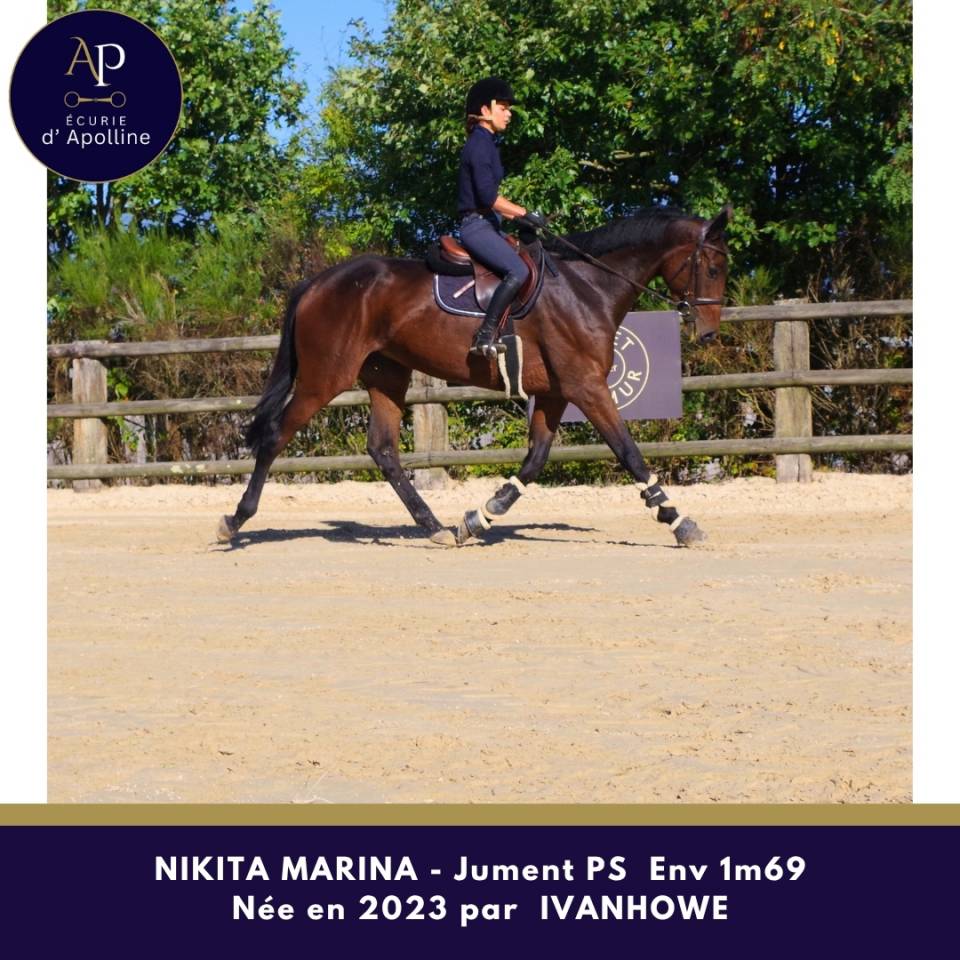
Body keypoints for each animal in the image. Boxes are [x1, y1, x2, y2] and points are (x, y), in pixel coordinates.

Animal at [216, 205, 732, 548]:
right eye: (711, 266)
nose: (707, 332)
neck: (587, 288)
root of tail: (318, 282)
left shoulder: (555, 393)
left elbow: (534, 461)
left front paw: (479, 518)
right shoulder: (586, 387)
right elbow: (629, 453)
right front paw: (681, 522)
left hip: (387, 375)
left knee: (383, 450)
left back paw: (435, 527)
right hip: (325, 377)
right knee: (276, 437)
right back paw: (235, 521)